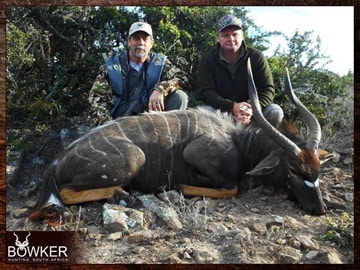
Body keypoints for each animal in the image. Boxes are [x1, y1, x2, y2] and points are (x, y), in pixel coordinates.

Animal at [28, 59, 334, 226]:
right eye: (293, 170)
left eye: (318, 170)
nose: (319, 209)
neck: (239, 142)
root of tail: (56, 162)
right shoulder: (197, 153)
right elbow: (232, 188)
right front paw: (179, 187)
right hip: (133, 160)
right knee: (67, 193)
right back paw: (124, 195)